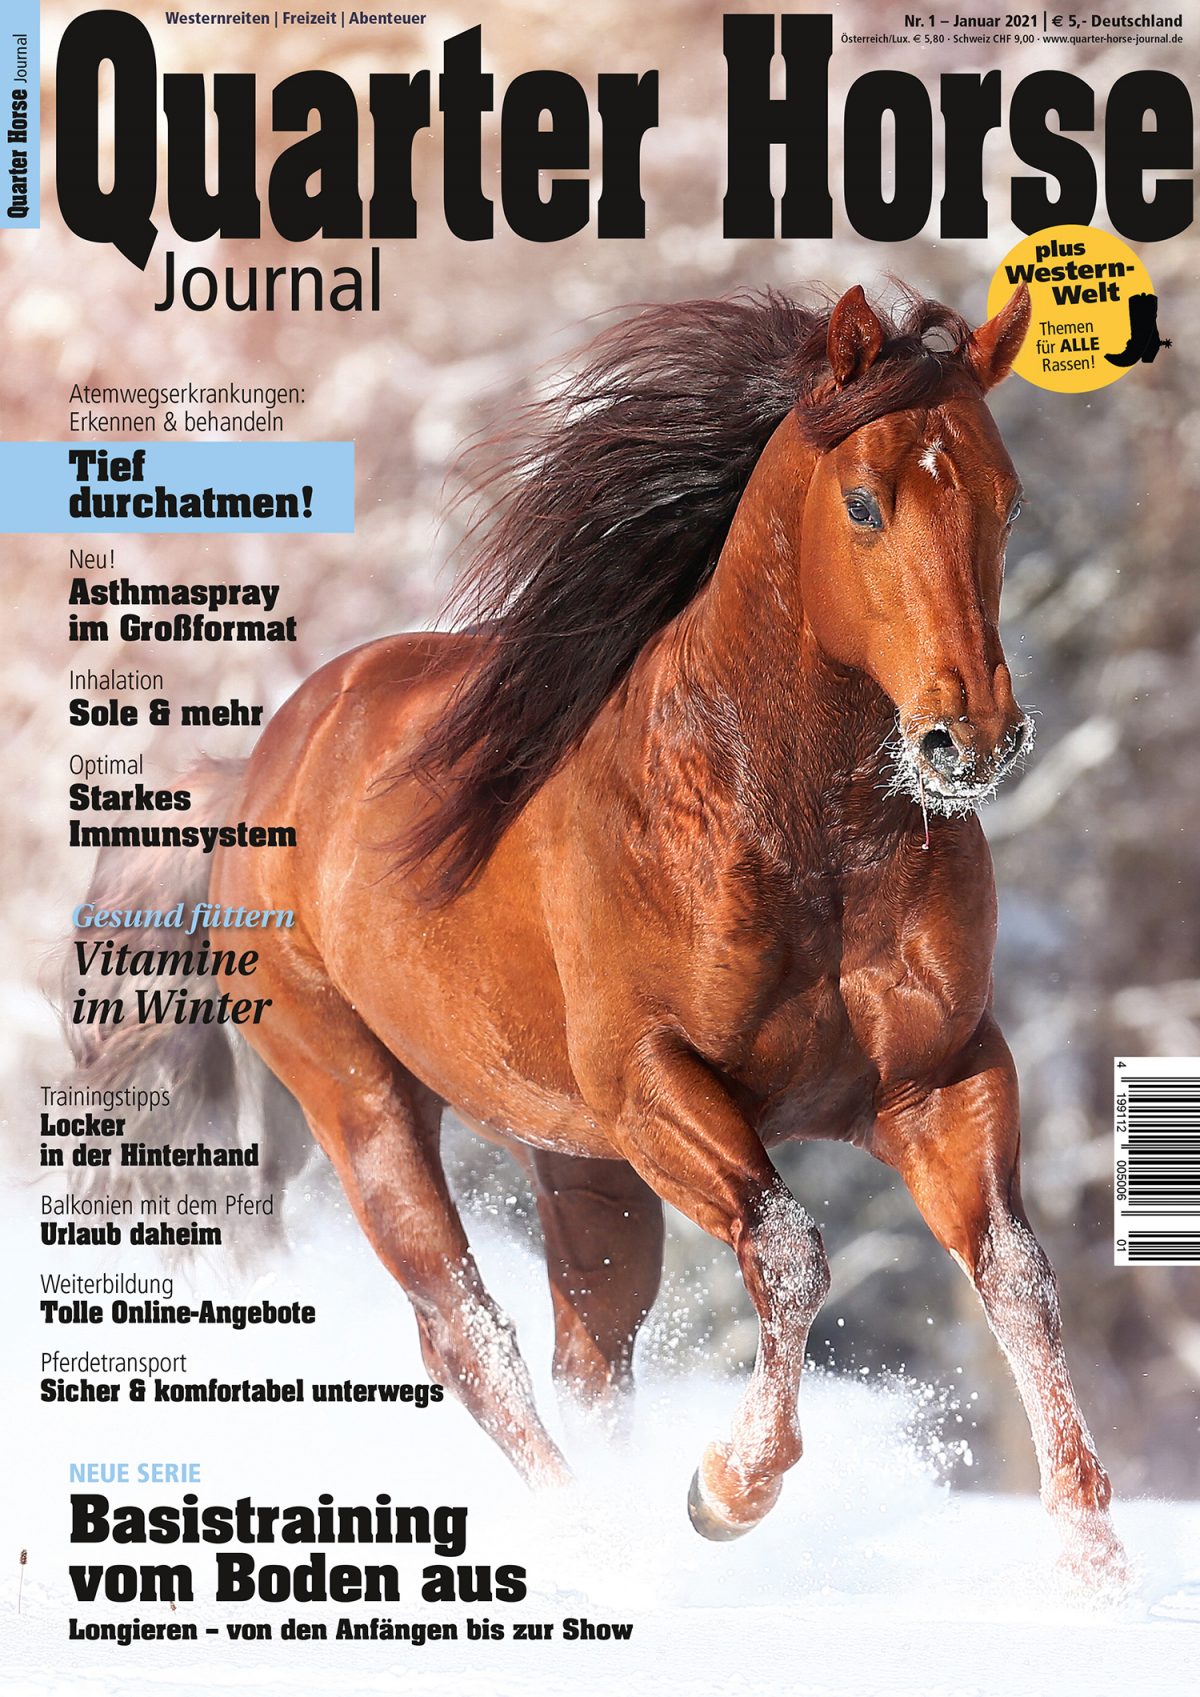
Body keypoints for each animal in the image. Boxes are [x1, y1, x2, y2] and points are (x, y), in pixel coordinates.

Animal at [69, 281, 1126, 1582]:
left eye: (1006, 498)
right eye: (866, 501)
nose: (970, 738)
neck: (800, 829)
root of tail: (255, 771)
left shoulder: (938, 1078)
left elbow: (1016, 1274)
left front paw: (1095, 1559)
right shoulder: (654, 1086)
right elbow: (790, 1249)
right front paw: (729, 1489)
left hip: (576, 1159)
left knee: (590, 1353)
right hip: (363, 1102)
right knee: (465, 1329)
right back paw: (593, 1539)